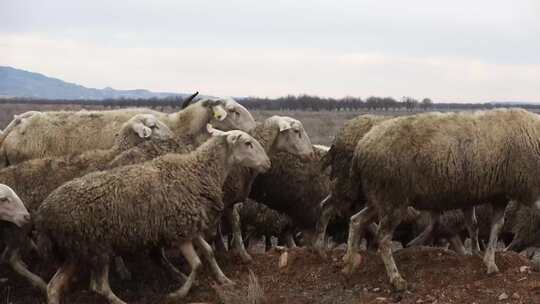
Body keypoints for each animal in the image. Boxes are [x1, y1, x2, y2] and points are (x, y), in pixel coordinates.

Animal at [34, 126, 270, 304]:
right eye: (247, 143)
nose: (268, 163)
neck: (197, 171)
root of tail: (44, 213)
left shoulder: (190, 227)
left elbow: (209, 252)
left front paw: (224, 279)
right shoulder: (180, 231)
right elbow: (196, 264)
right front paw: (178, 293)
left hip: (77, 250)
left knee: (54, 286)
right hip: (96, 246)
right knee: (99, 286)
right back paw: (121, 301)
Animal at [344, 108, 540, 290]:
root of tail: (362, 146)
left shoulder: (500, 196)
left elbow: (494, 228)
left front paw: (489, 262)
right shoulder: (530, 191)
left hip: (381, 198)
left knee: (356, 220)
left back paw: (349, 263)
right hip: (393, 198)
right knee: (383, 238)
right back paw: (396, 278)